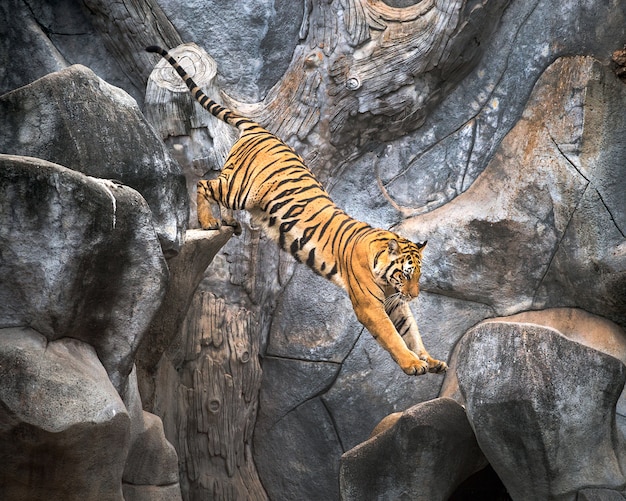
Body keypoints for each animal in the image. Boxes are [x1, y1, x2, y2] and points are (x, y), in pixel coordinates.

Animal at [147, 46, 446, 376]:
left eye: (417, 275)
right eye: (405, 274)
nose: (415, 295)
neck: (384, 274)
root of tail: (261, 129)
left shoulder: (395, 303)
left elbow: (411, 331)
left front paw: (430, 360)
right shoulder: (370, 305)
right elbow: (394, 336)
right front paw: (412, 364)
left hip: (239, 190)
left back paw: (227, 223)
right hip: (240, 189)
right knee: (204, 183)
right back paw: (208, 221)